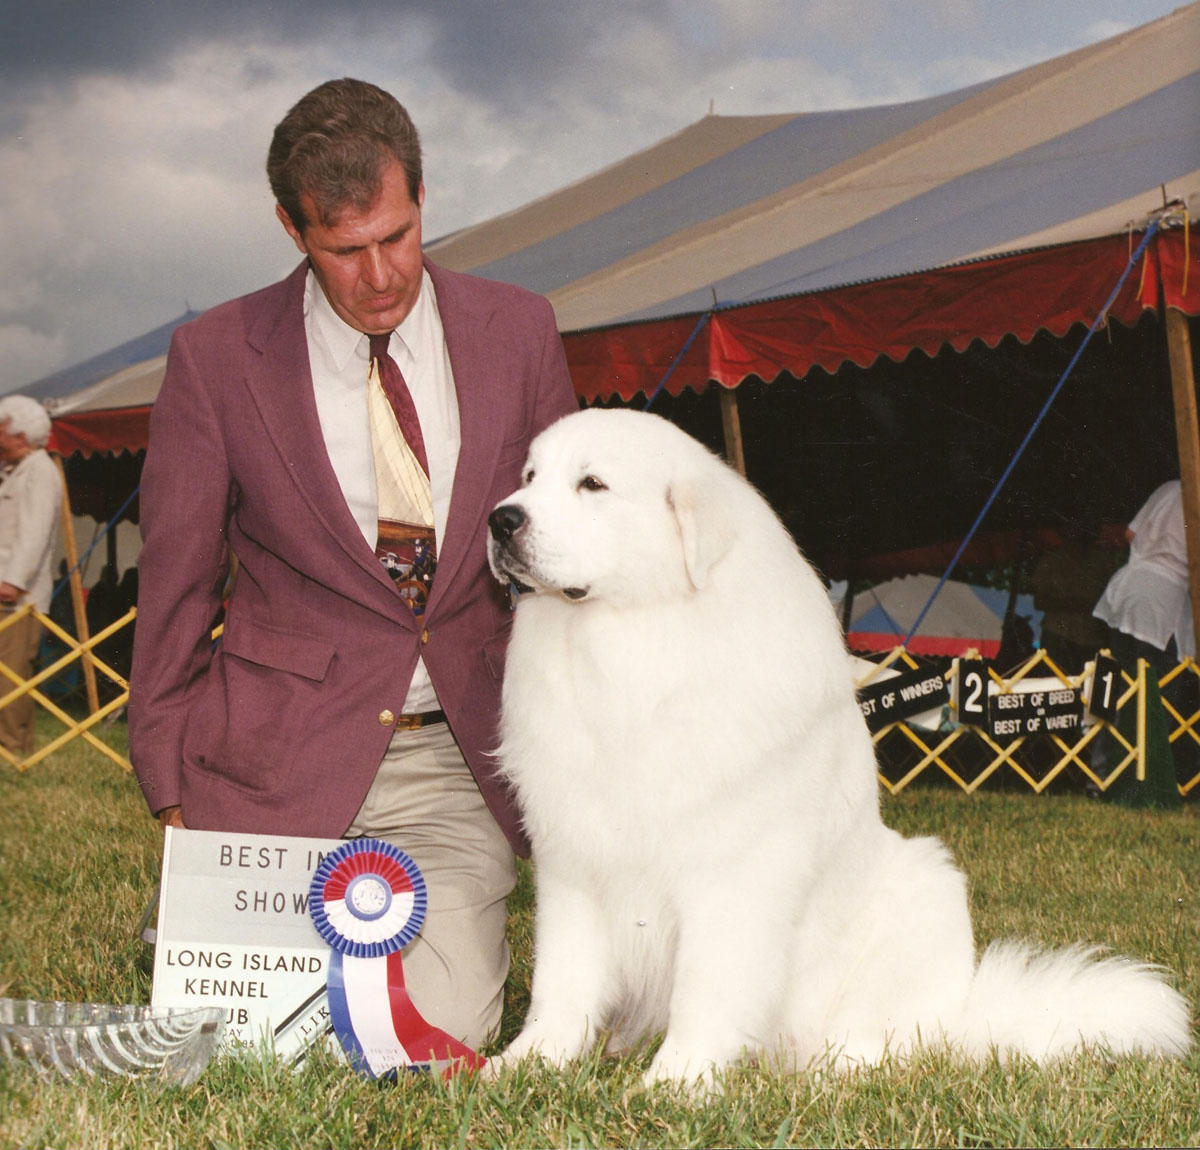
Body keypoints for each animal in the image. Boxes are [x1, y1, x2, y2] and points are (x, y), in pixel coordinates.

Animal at [484, 410, 1190, 1085]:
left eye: (592, 484)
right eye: (528, 477)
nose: (500, 520)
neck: (628, 652)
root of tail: (966, 1017)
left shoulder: (731, 877)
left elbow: (704, 993)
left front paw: (677, 1083)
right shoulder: (574, 867)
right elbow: (562, 985)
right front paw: (527, 1064)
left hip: (925, 891)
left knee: (891, 1046)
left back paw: (832, 1070)